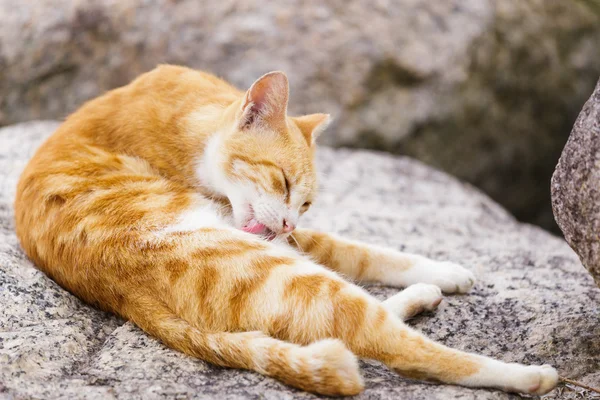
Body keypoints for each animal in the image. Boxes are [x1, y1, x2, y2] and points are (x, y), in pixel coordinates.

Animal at [14, 65, 556, 396]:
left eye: (307, 201)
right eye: (285, 181)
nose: (292, 220)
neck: (190, 113)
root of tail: (125, 298)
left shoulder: (281, 234)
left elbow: (361, 250)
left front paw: (441, 269)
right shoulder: (266, 231)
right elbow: (356, 251)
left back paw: (423, 293)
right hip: (284, 273)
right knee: (391, 344)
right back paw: (529, 375)